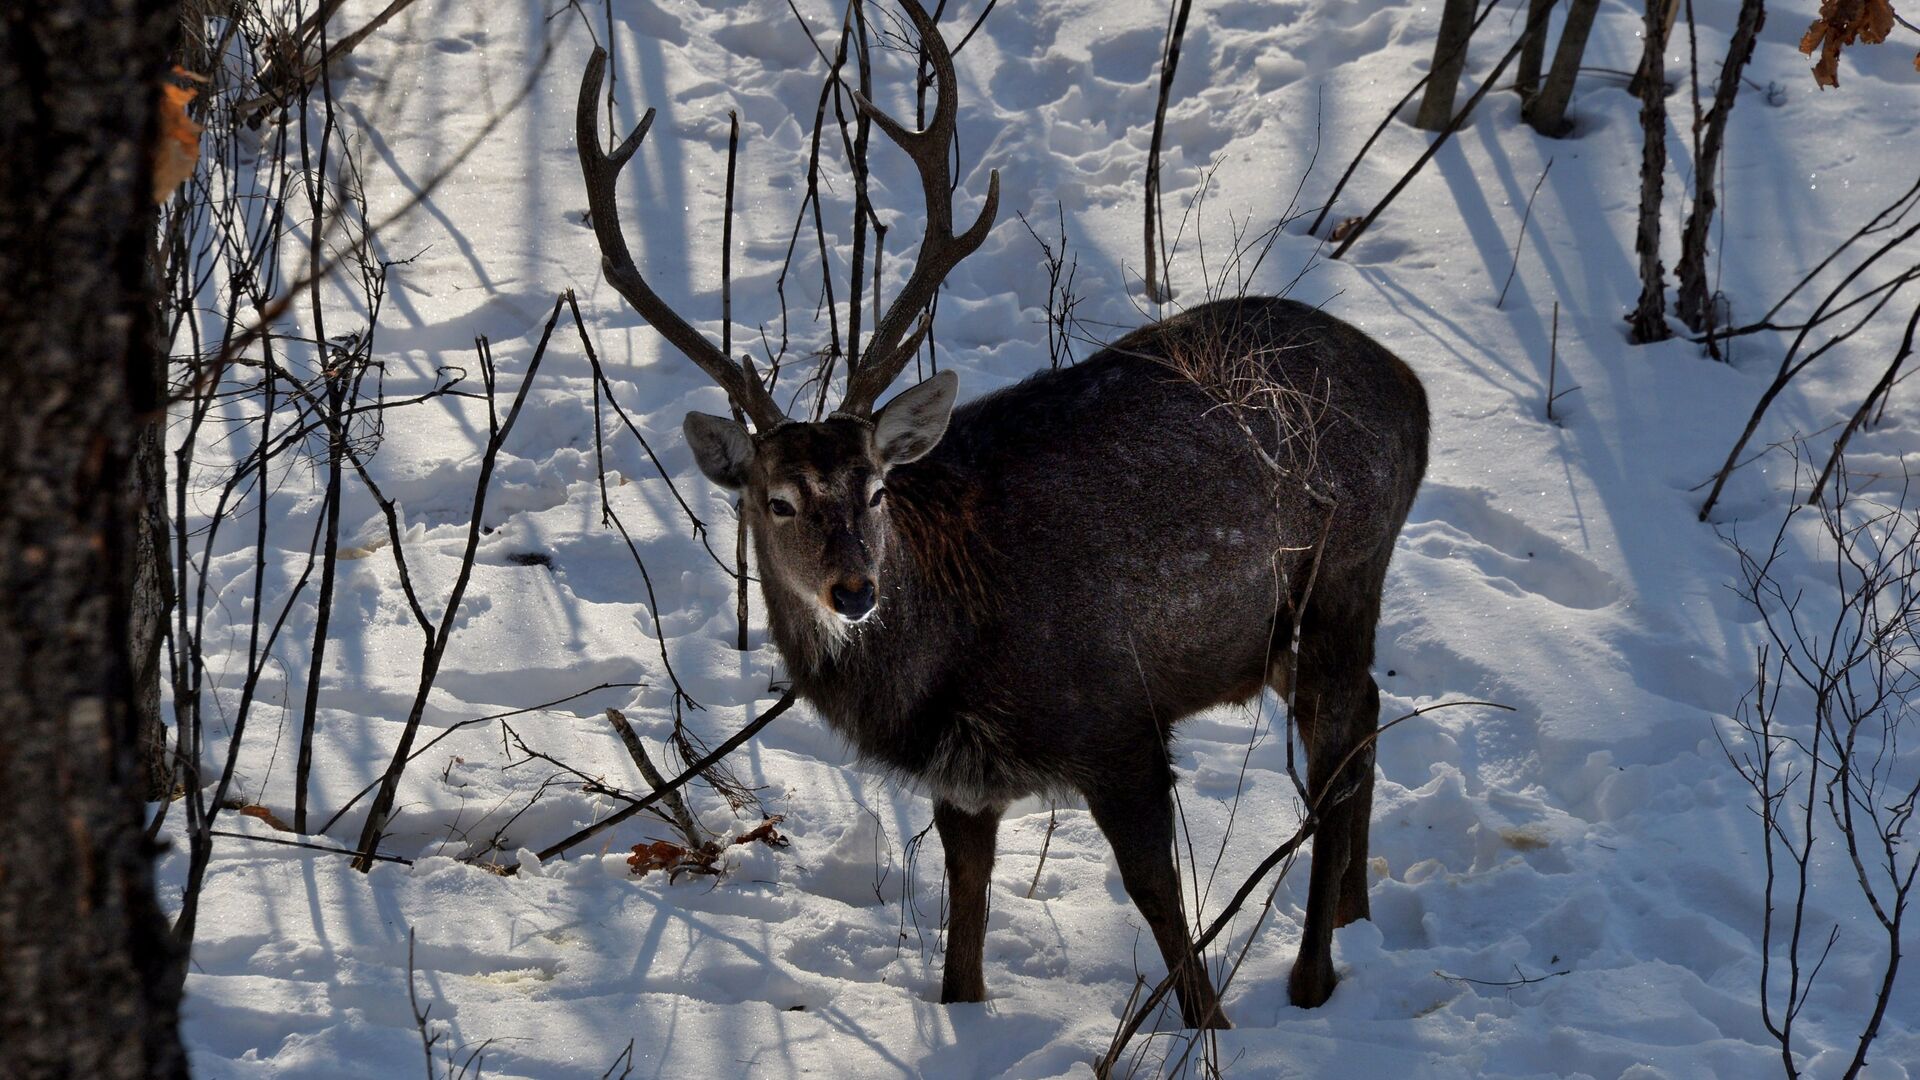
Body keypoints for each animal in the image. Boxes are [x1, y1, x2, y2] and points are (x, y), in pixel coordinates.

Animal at [576, 2, 1436, 1022]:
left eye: (876, 487)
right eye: (775, 500)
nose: (855, 590)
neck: (952, 655)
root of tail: (1415, 391)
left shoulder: (1118, 718)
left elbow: (1157, 896)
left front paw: (1209, 1022)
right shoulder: (963, 780)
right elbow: (966, 922)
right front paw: (965, 1014)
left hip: (1343, 571)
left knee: (1339, 755)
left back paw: (1311, 978)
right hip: (1287, 627)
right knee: (1367, 718)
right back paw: (1356, 920)